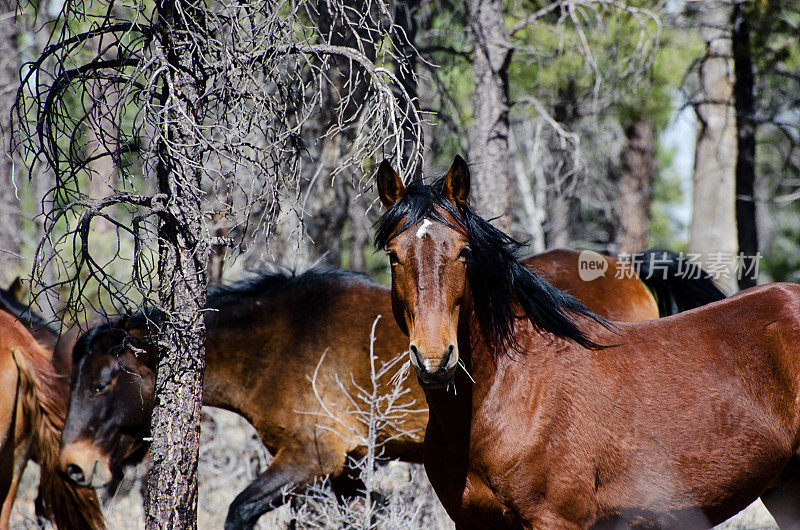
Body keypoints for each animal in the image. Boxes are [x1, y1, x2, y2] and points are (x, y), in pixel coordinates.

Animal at [61, 249, 724, 528]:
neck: (282, 341)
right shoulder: (345, 470)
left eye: (103, 381)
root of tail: (629, 271)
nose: (73, 466)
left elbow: (241, 510)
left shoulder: (311, 458)